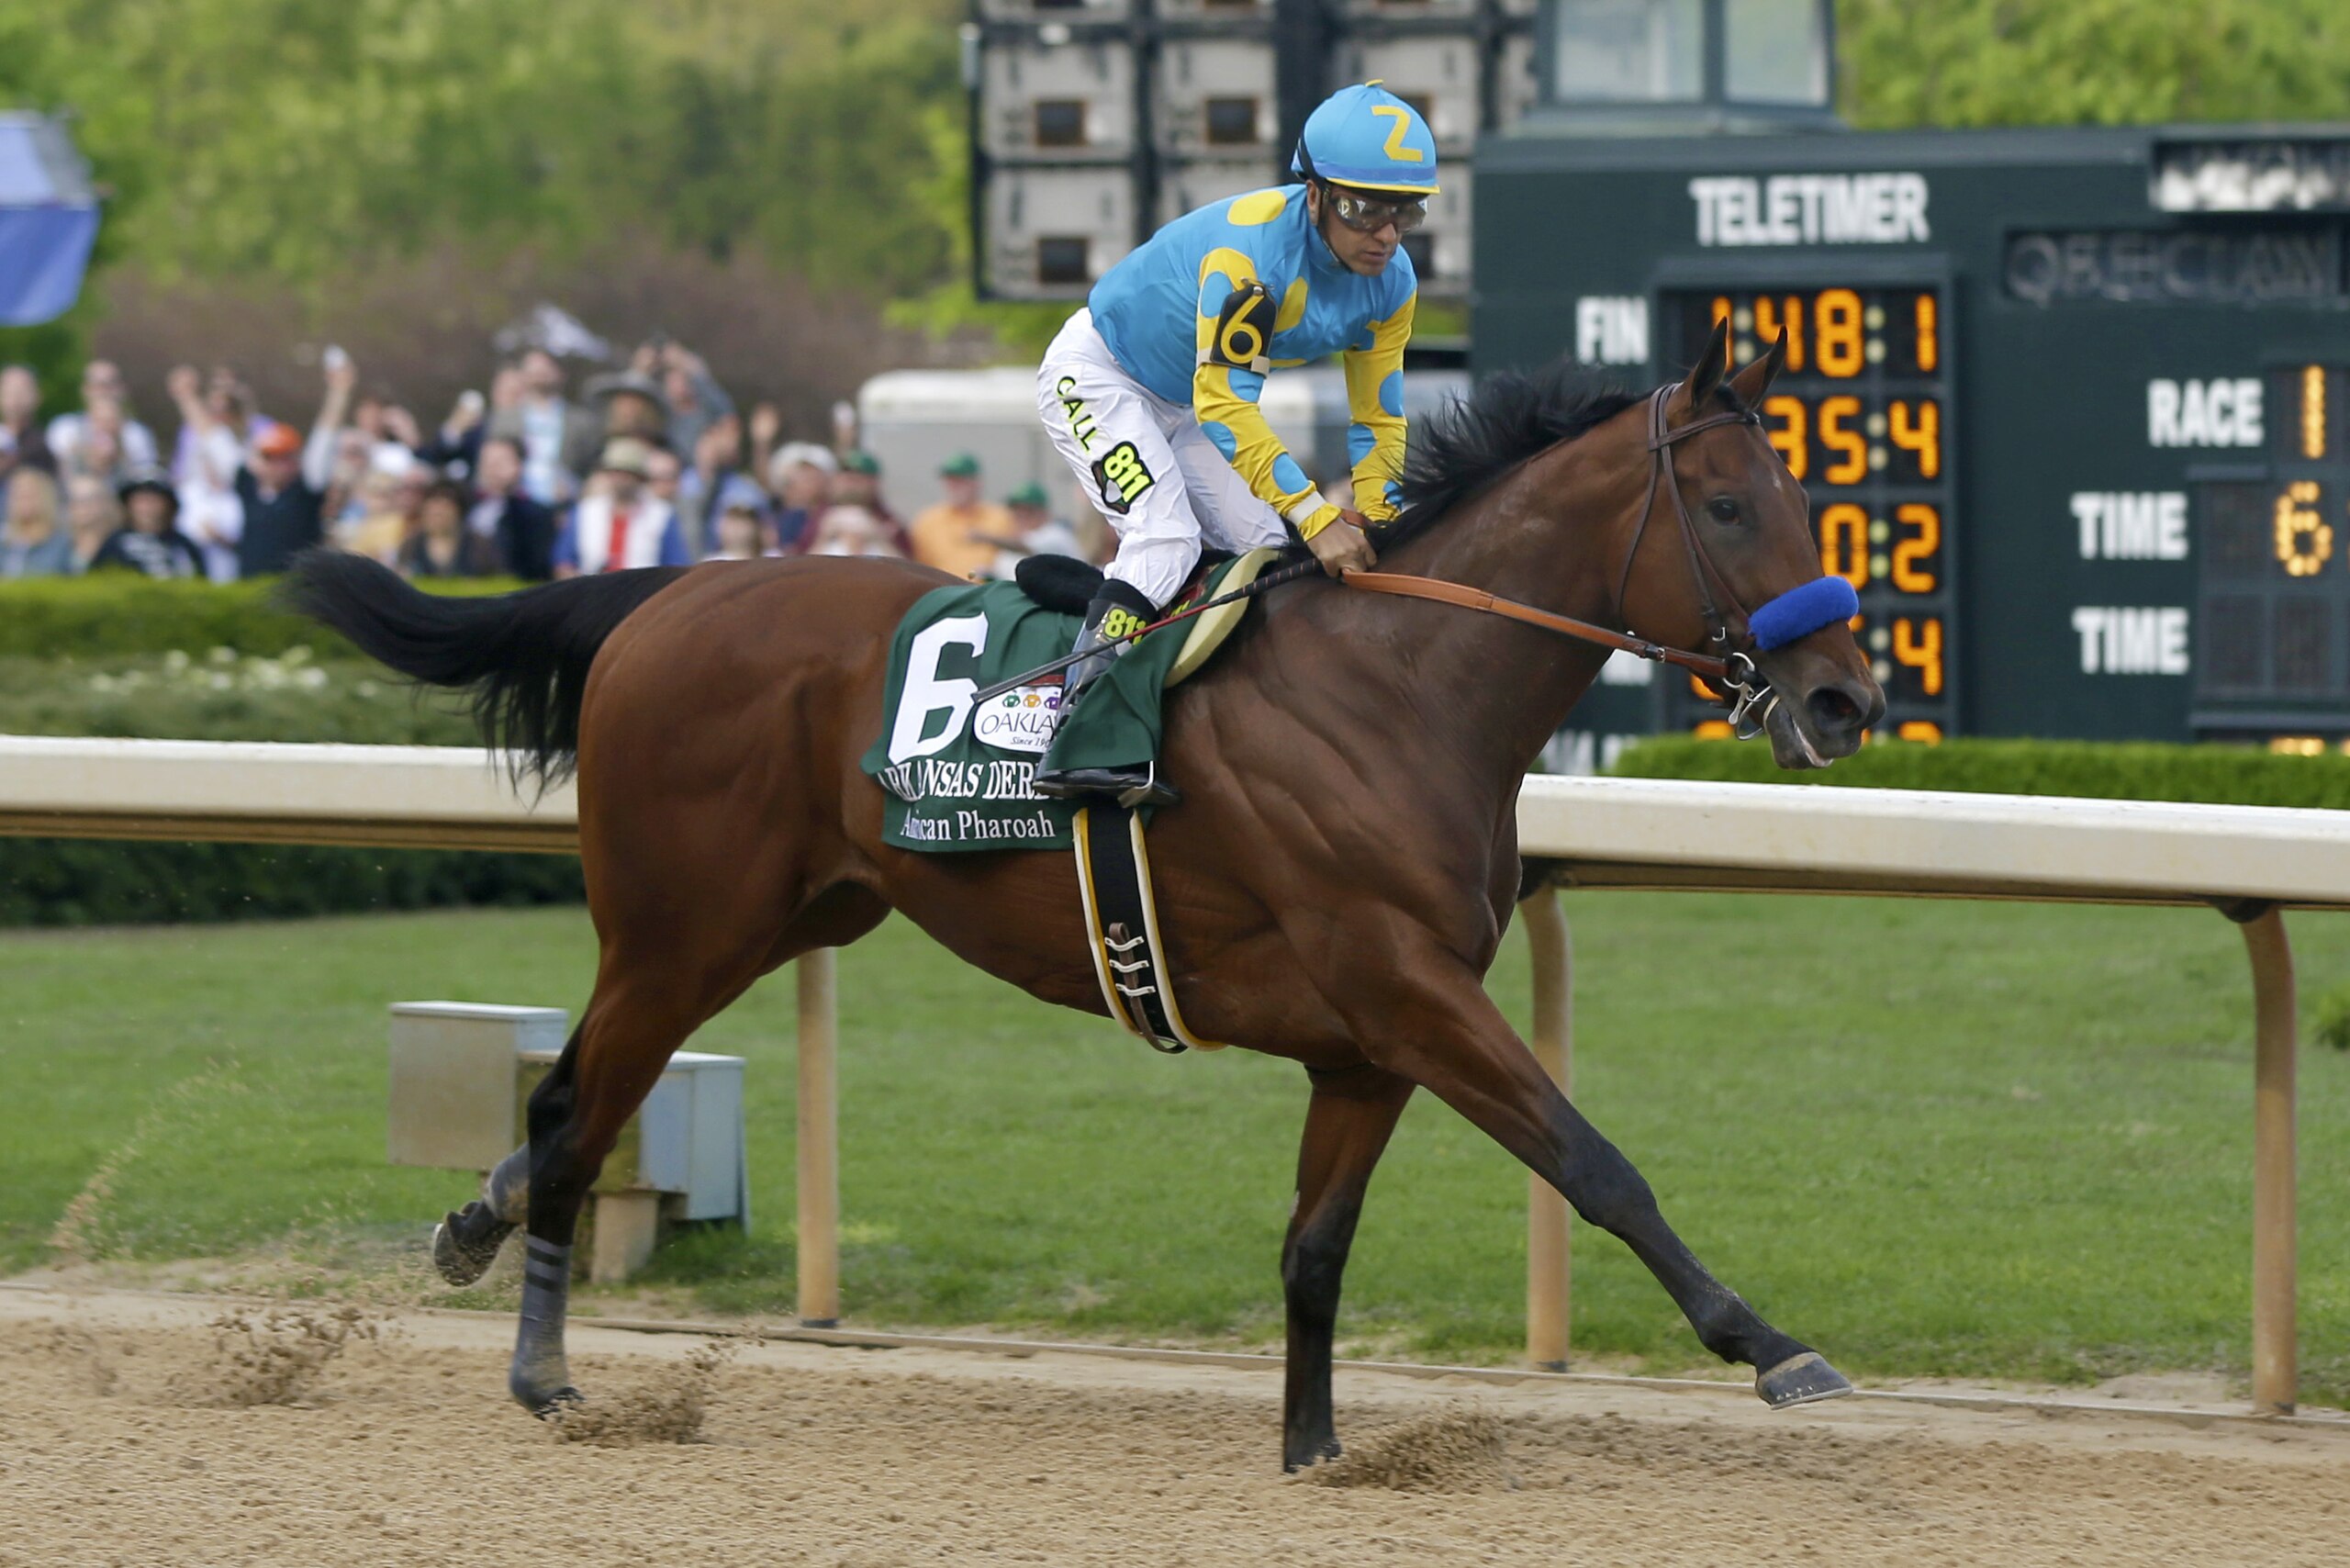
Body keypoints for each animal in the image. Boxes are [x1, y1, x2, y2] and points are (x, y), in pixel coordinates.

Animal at [291, 322, 1885, 1469]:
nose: (1846, 700)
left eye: (1804, 497)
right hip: (681, 927)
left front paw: (1314, 1448)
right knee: (574, 1105)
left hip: (805, 911)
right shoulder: (1408, 987)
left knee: (583, 1103)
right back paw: (543, 1367)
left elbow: (1315, 1246)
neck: (1401, 689)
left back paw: (477, 1227)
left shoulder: (1371, 1037)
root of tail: (661, 593)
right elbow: (1595, 1163)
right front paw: (1772, 1347)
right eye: (1730, 504)